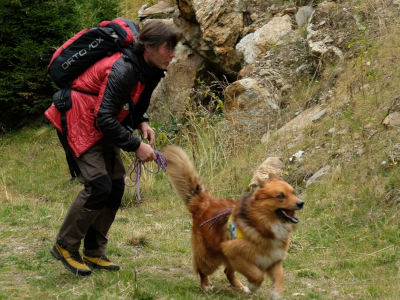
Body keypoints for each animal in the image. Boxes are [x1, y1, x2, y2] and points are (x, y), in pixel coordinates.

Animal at [162, 146, 304, 298]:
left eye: (293, 192)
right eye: (280, 196)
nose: (301, 203)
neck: (262, 222)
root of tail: (203, 201)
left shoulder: (273, 259)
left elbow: (279, 279)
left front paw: (275, 294)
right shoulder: (233, 251)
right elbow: (258, 275)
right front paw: (253, 286)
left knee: (227, 272)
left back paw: (239, 287)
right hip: (210, 257)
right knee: (202, 269)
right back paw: (206, 285)